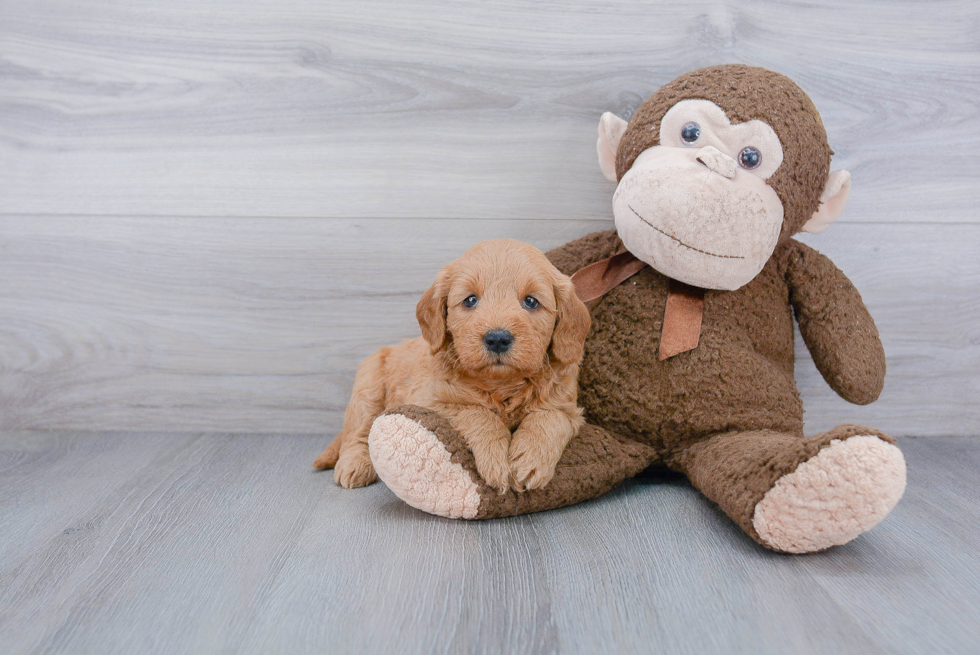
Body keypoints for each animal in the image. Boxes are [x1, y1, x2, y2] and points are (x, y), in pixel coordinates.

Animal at [314, 240, 588, 492]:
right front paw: (496, 460)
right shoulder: (429, 400)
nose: (498, 338)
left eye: (531, 302)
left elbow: (549, 419)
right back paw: (354, 465)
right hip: (368, 386)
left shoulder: (567, 408)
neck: (500, 385)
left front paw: (530, 460)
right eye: (470, 300)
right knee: (358, 432)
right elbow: (477, 413)